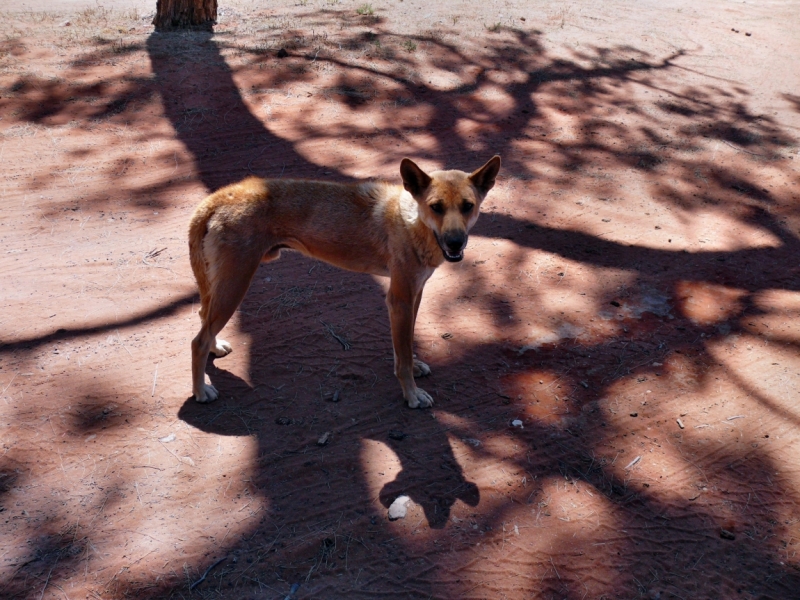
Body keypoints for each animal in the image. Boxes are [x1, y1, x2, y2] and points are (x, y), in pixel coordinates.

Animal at [188, 155, 500, 408]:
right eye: (436, 207)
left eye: (468, 206)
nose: (456, 242)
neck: (411, 222)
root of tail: (221, 195)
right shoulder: (399, 299)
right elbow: (403, 355)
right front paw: (411, 395)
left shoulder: (414, 293)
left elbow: (406, 346)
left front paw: (414, 366)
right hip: (234, 286)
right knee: (197, 340)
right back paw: (201, 391)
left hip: (221, 286)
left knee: (203, 318)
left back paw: (215, 349)